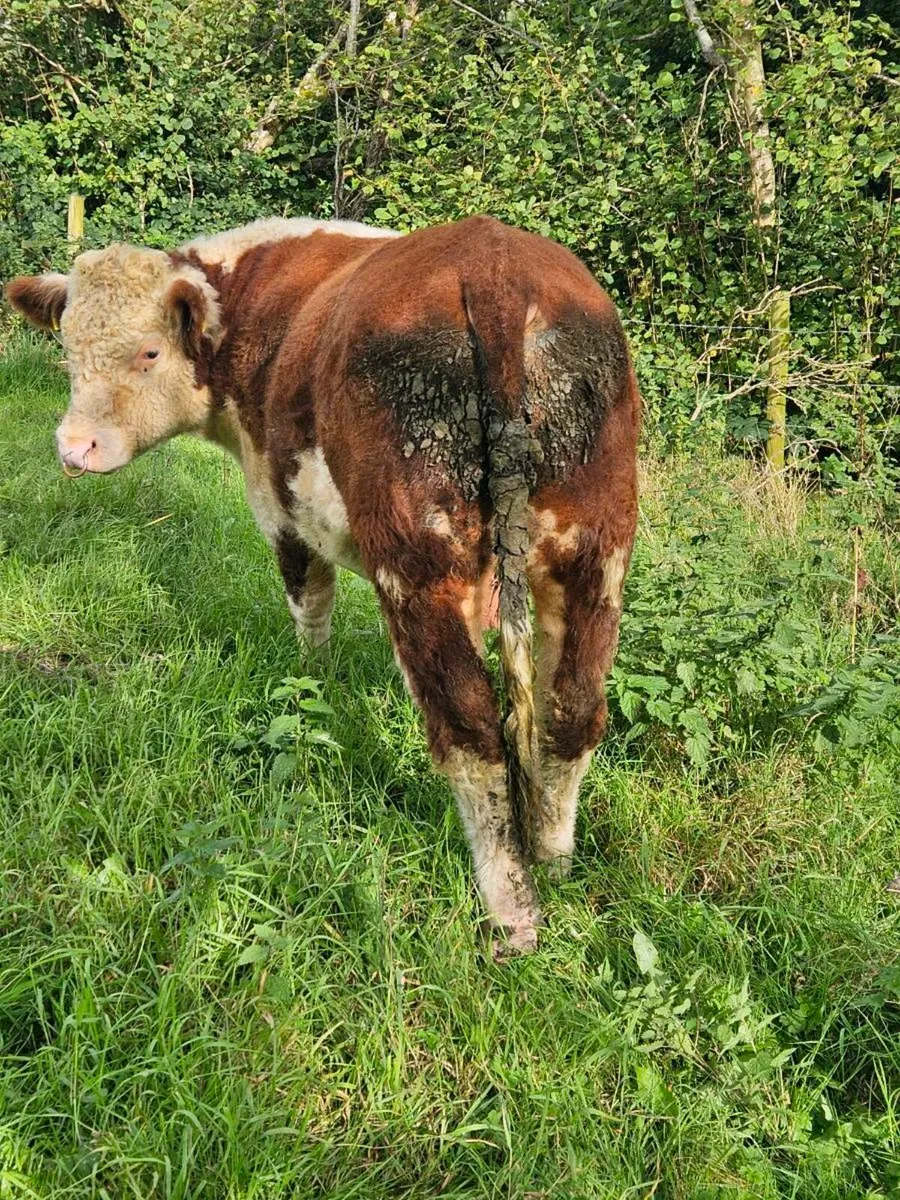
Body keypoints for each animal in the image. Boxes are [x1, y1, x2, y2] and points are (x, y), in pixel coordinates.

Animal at [5, 214, 640, 957]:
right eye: (68, 352)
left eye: (149, 353)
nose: (73, 448)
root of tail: (494, 264)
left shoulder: (281, 512)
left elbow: (310, 608)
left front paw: (314, 689)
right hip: (596, 545)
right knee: (570, 710)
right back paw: (555, 861)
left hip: (418, 558)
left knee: (471, 731)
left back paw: (512, 914)